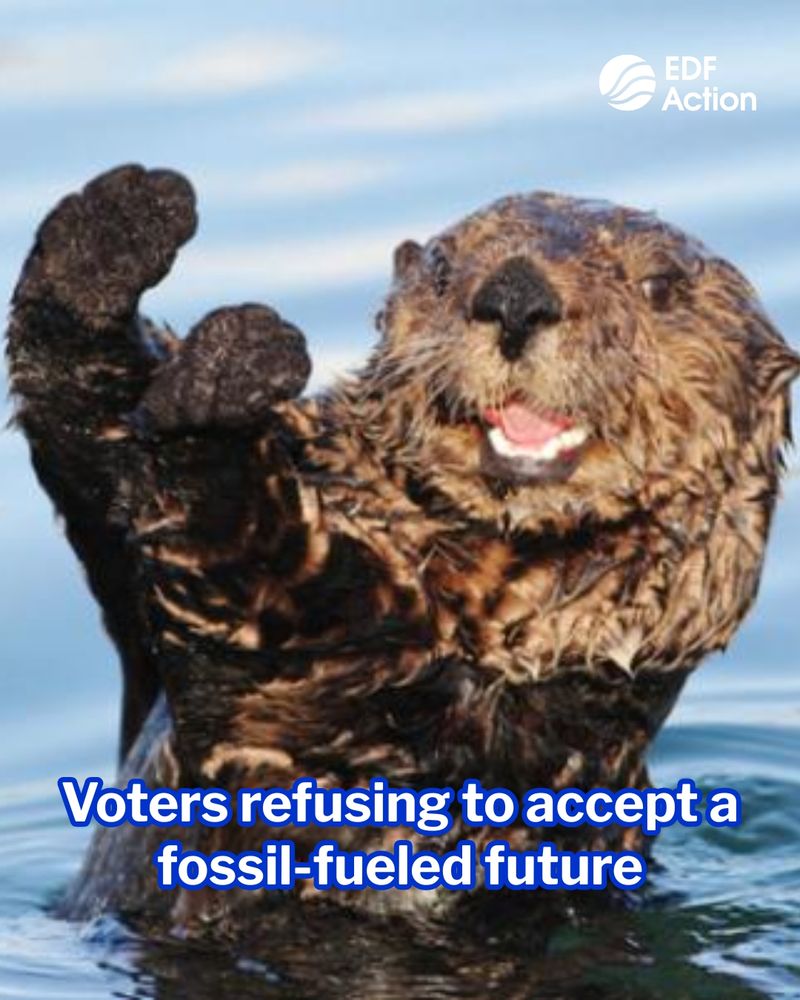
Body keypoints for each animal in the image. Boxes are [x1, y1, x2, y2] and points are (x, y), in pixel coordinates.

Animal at [7, 165, 798, 929]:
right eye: (443, 270)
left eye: (659, 286)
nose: (515, 296)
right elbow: (93, 443)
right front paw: (115, 230)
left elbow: (254, 568)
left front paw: (224, 380)